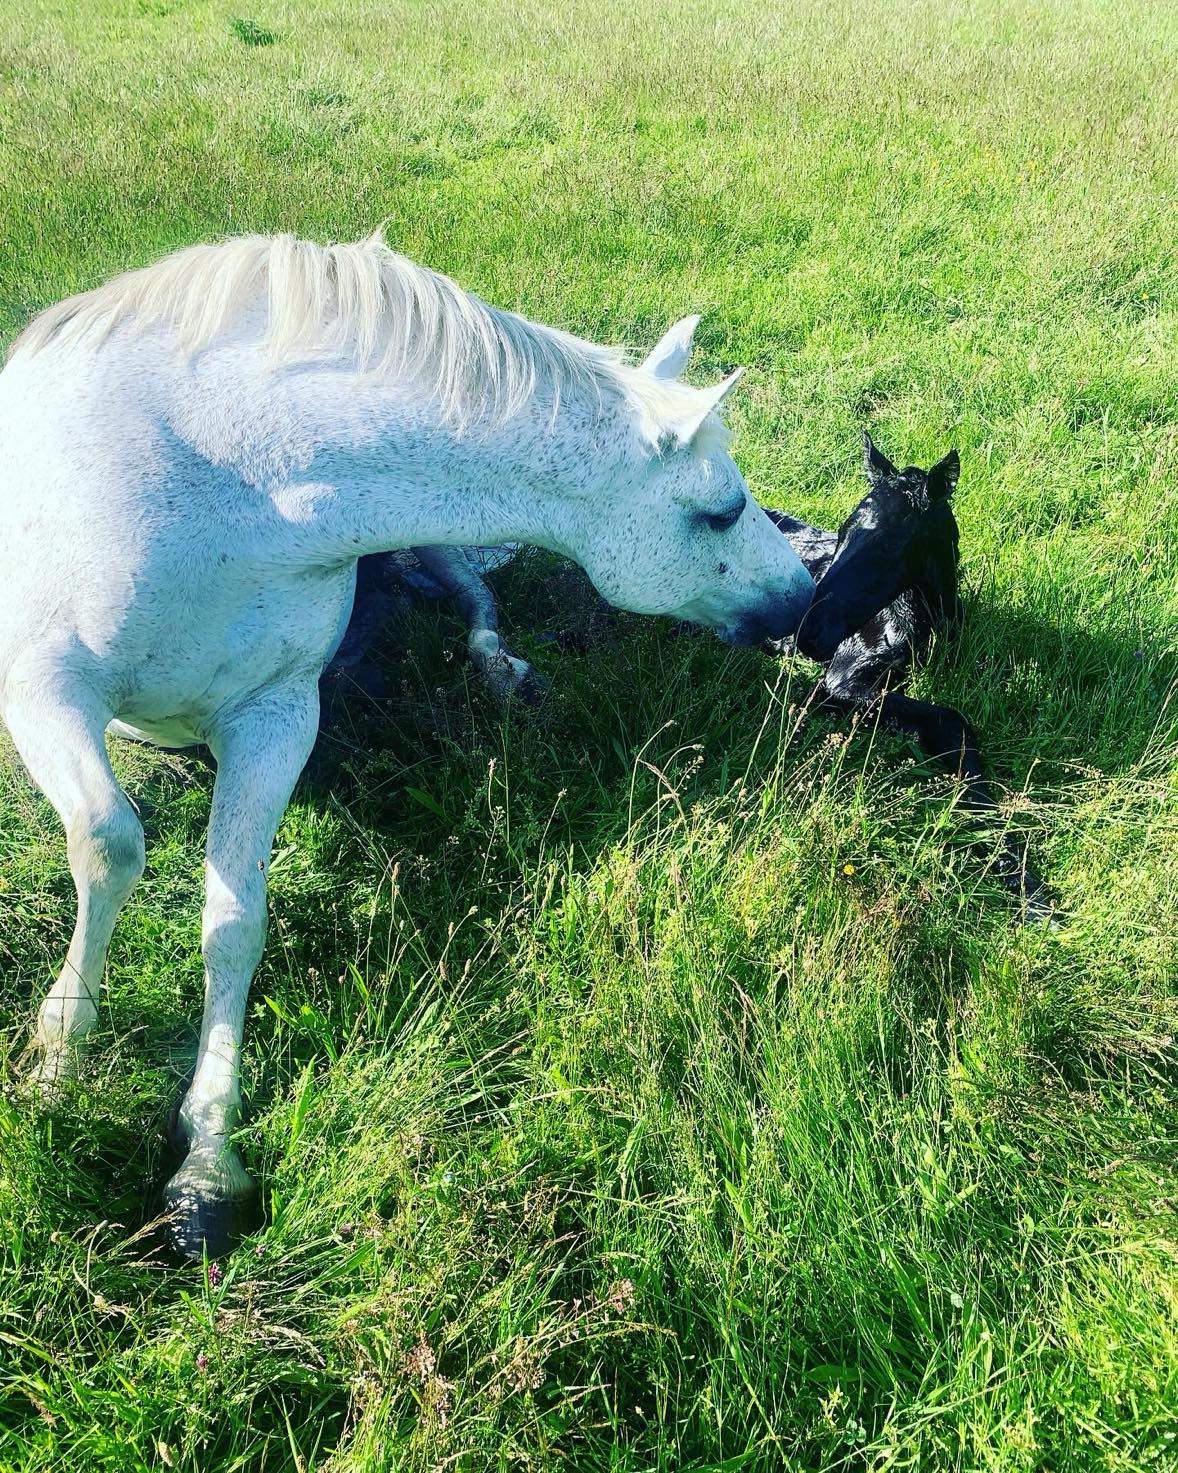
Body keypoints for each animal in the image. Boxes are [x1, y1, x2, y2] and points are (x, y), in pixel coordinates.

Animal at [0, 229, 812, 1254]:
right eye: (721, 510)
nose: (804, 601)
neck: (224, 484)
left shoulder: (275, 713)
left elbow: (233, 921)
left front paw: (207, 1162)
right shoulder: (42, 692)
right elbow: (108, 844)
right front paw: (58, 1062)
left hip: (431, 544)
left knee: (476, 596)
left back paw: (500, 668)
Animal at [765, 430, 1054, 925]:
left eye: (888, 546)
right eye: (842, 531)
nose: (808, 634)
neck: (923, 620)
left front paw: (1015, 871)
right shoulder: (837, 684)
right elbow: (947, 717)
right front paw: (1019, 878)